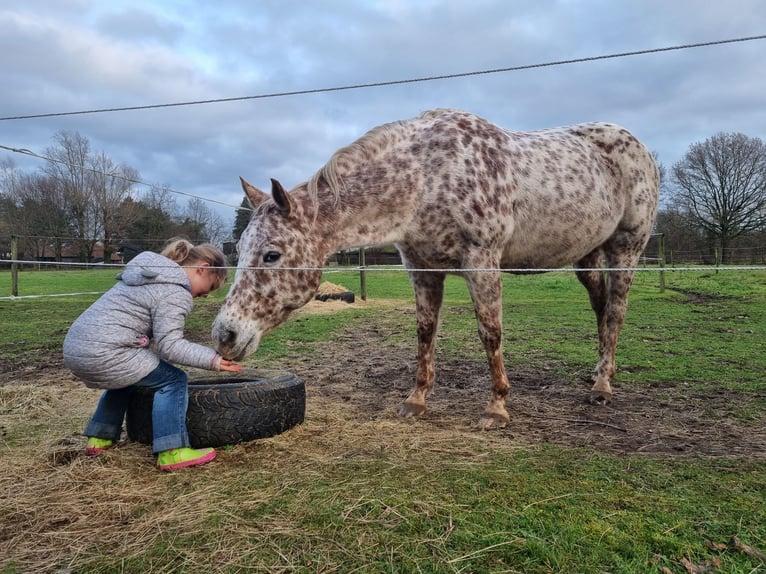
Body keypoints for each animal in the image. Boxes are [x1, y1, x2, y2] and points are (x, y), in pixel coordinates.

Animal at [213, 110, 664, 430]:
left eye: (272, 254)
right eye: (240, 250)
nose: (225, 335)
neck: (426, 178)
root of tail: (639, 147)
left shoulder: (482, 262)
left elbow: (490, 332)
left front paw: (497, 407)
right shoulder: (421, 268)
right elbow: (425, 332)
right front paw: (416, 401)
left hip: (625, 249)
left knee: (616, 311)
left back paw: (602, 387)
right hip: (588, 257)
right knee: (601, 309)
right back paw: (598, 373)